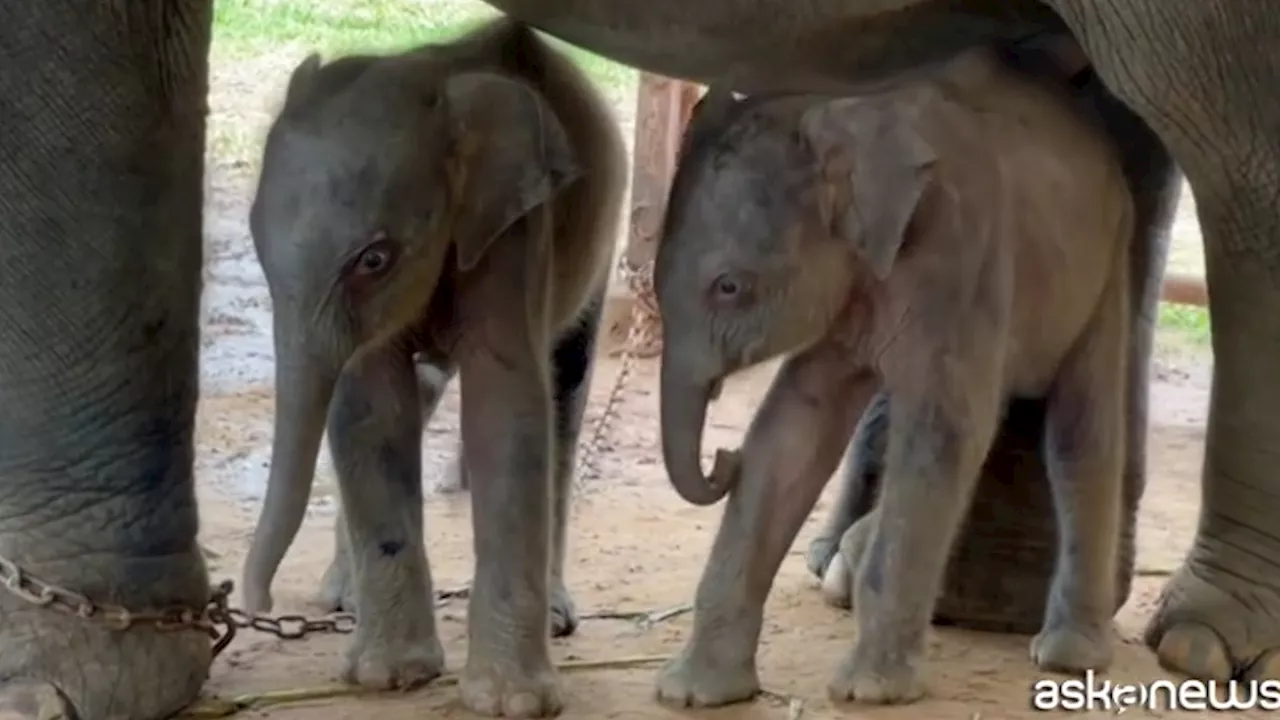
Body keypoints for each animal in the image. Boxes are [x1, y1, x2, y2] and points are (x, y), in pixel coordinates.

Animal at [650, 47, 1131, 702]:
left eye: (729, 287)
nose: (722, 460)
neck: (840, 115)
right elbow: (791, 434)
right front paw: (693, 694)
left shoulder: (962, 252)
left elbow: (941, 431)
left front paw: (868, 692)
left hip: (1110, 261)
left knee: (1081, 435)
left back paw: (1068, 656)